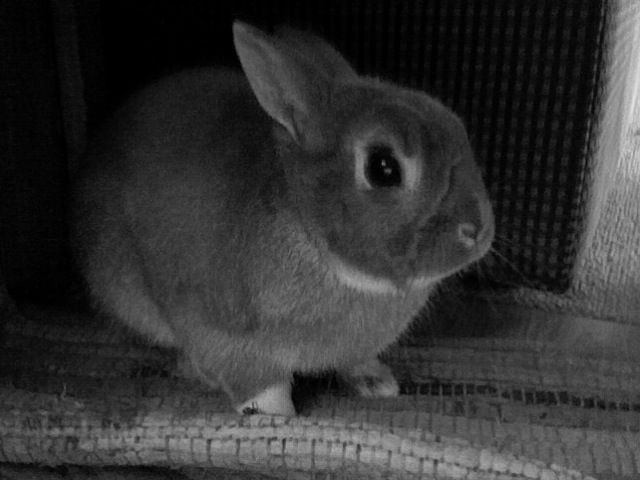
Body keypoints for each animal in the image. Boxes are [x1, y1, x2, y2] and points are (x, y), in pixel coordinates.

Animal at [71, 21, 494, 416]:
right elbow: (259, 383)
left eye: (456, 125)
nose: (478, 231)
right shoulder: (221, 333)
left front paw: (377, 383)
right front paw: (276, 415)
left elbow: (354, 361)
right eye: (383, 167)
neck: (312, 237)